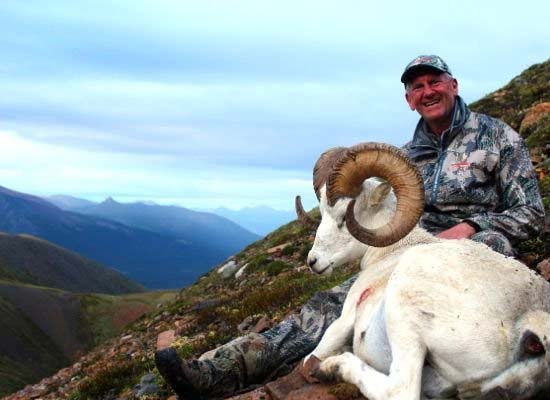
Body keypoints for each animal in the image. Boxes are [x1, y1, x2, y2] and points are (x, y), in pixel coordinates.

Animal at [302, 144, 550, 400]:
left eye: (343, 216)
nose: (313, 261)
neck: (390, 253)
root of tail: (529, 320)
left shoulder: (344, 319)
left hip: (403, 312)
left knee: (401, 390)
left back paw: (329, 367)